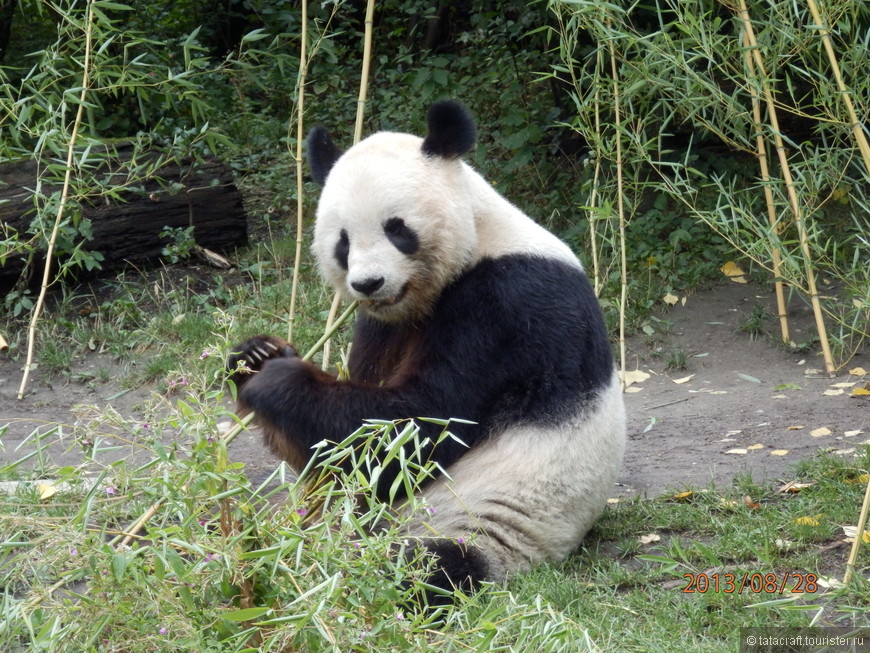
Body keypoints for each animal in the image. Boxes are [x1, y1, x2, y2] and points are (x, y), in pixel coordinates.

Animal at [228, 99, 628, 600]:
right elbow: (337, 447)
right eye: (342, 241)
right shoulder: (382, 326)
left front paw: (276, 380)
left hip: (489, 526)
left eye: (397, 229)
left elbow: (418, 426)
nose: (368, 283)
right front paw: (255, 355)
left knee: (417, 569)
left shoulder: (508, 305)